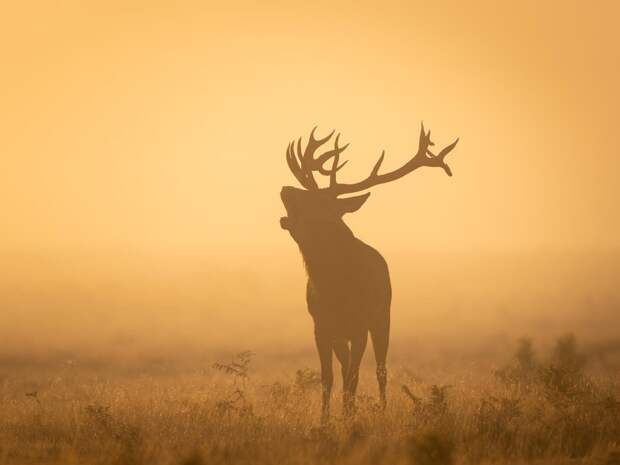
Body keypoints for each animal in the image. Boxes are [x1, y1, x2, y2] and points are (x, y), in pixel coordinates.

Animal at [280, 123, 456, 420]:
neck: (333, 288)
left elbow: (354, 377)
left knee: (380, 370)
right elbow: (328, 378)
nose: (285, 189)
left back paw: (381, 410)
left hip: (383, 317)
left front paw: (349, 418)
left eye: (321, 201)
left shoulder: (361, 325)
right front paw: (325, 421)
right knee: (346, 368)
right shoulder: (321, 327)